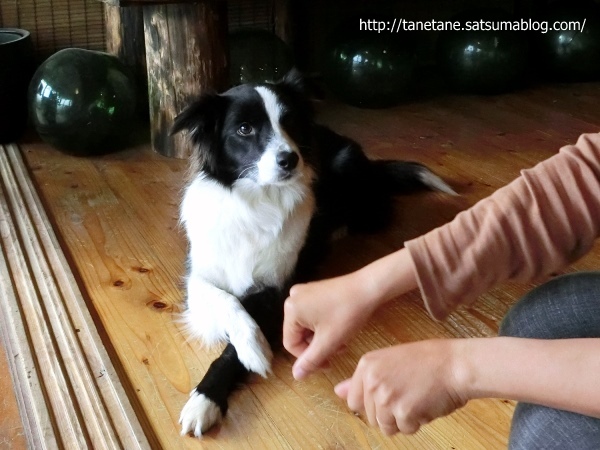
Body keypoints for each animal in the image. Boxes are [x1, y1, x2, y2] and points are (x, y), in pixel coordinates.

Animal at [171, 70, 455, 437]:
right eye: (244, 129)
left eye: (289, 120)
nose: (290, 159)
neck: (257, 202)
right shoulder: (198, 276)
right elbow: (227, 301)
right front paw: (251, 348)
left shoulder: (277, 289)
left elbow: (232, 348)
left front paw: (210, 395)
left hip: (353, 177)